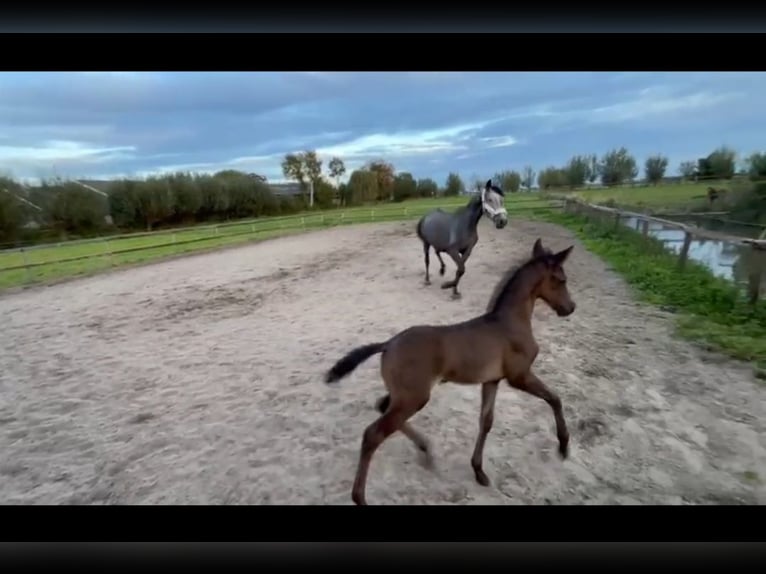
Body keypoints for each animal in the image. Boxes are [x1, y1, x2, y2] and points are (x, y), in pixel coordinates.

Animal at [324, 237, 576, 505]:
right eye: (562, 279)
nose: (570, 307)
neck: (508, 323)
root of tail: (388, 343)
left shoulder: (492, 380)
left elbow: (486, 421)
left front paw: (479, 471)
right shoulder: (519, 376)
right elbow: (555, 398)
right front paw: (563, 446)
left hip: (404, 395)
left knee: (382, 407)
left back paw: (426, 450)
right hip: (414, 397)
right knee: (373, 434)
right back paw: (360, 497)